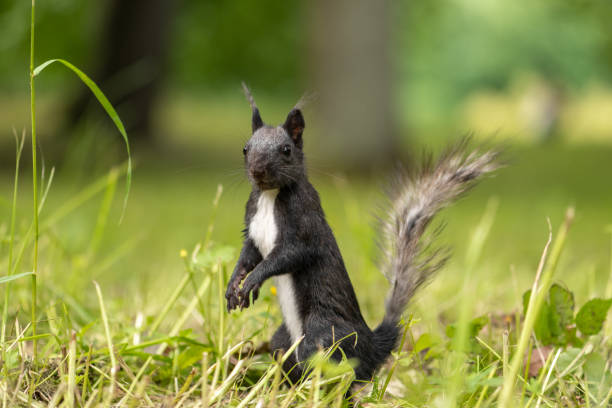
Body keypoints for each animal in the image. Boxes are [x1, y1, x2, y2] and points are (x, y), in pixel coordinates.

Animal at [225, 83, 498, 386]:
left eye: (286, 149)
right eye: (245, 148)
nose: (257, 170)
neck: (270, 197)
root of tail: (372, 346)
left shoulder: (305, 225)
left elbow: (288, 255)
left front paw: (253, 281)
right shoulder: (252, 229)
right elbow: (248, 255)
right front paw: (234, 286)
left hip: (322, 335)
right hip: (282, 341)